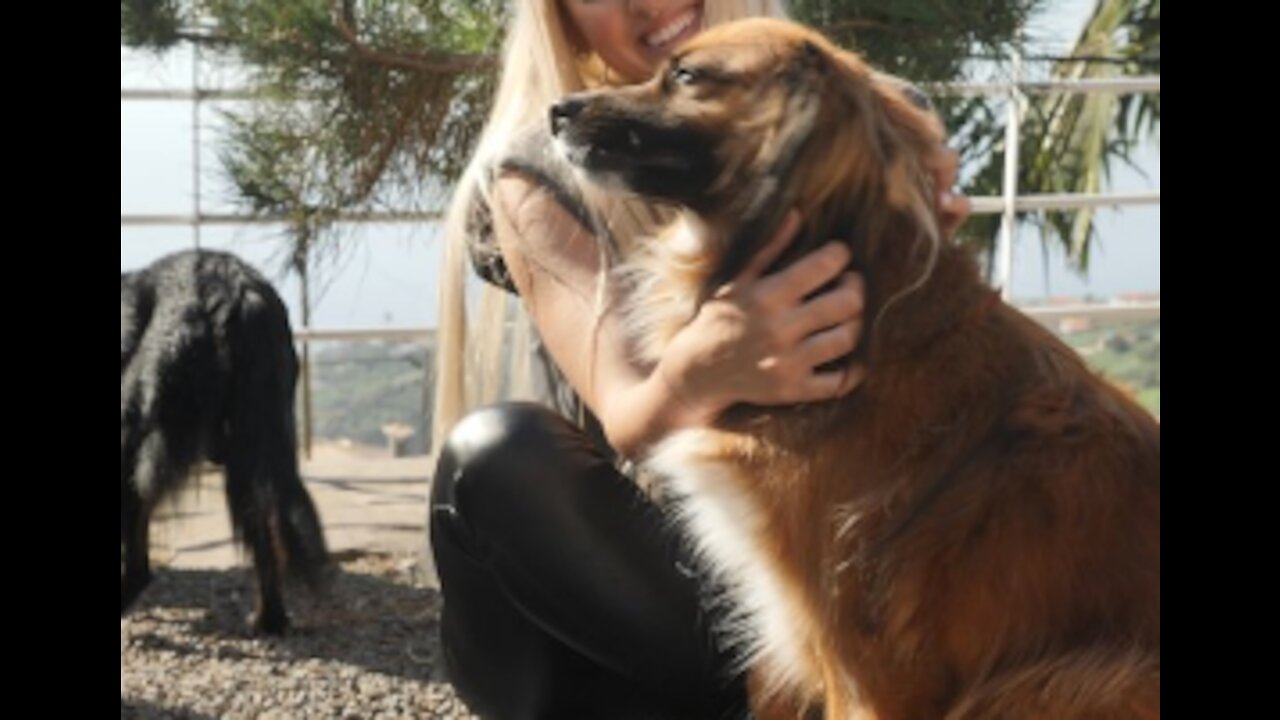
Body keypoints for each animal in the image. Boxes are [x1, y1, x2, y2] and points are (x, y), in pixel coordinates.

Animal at [122, 249, 327, 630]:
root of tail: (239, 292)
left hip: (144, 437)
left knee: (139, 562)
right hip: (256, 440)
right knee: (266, 523)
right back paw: (270, 619)